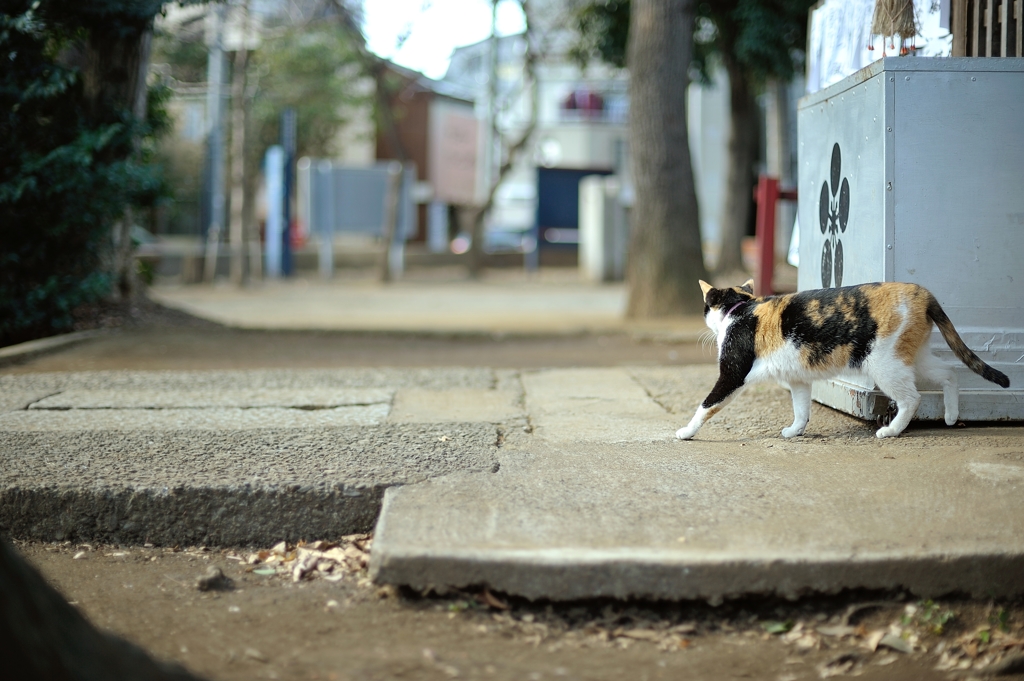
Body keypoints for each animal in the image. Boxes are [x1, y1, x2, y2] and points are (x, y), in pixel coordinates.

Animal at [675, 278, 1011, 440]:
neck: (742, 308)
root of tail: (923, 294)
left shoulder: (732, 374)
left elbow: (706, 405)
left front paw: (686, 432)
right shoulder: (798, 379)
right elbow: (801, 410)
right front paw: (795, 432)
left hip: (885, 365)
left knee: (912, 398)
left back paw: (890, 431)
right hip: (914, 359)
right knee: (950, 373)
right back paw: (952, 416)